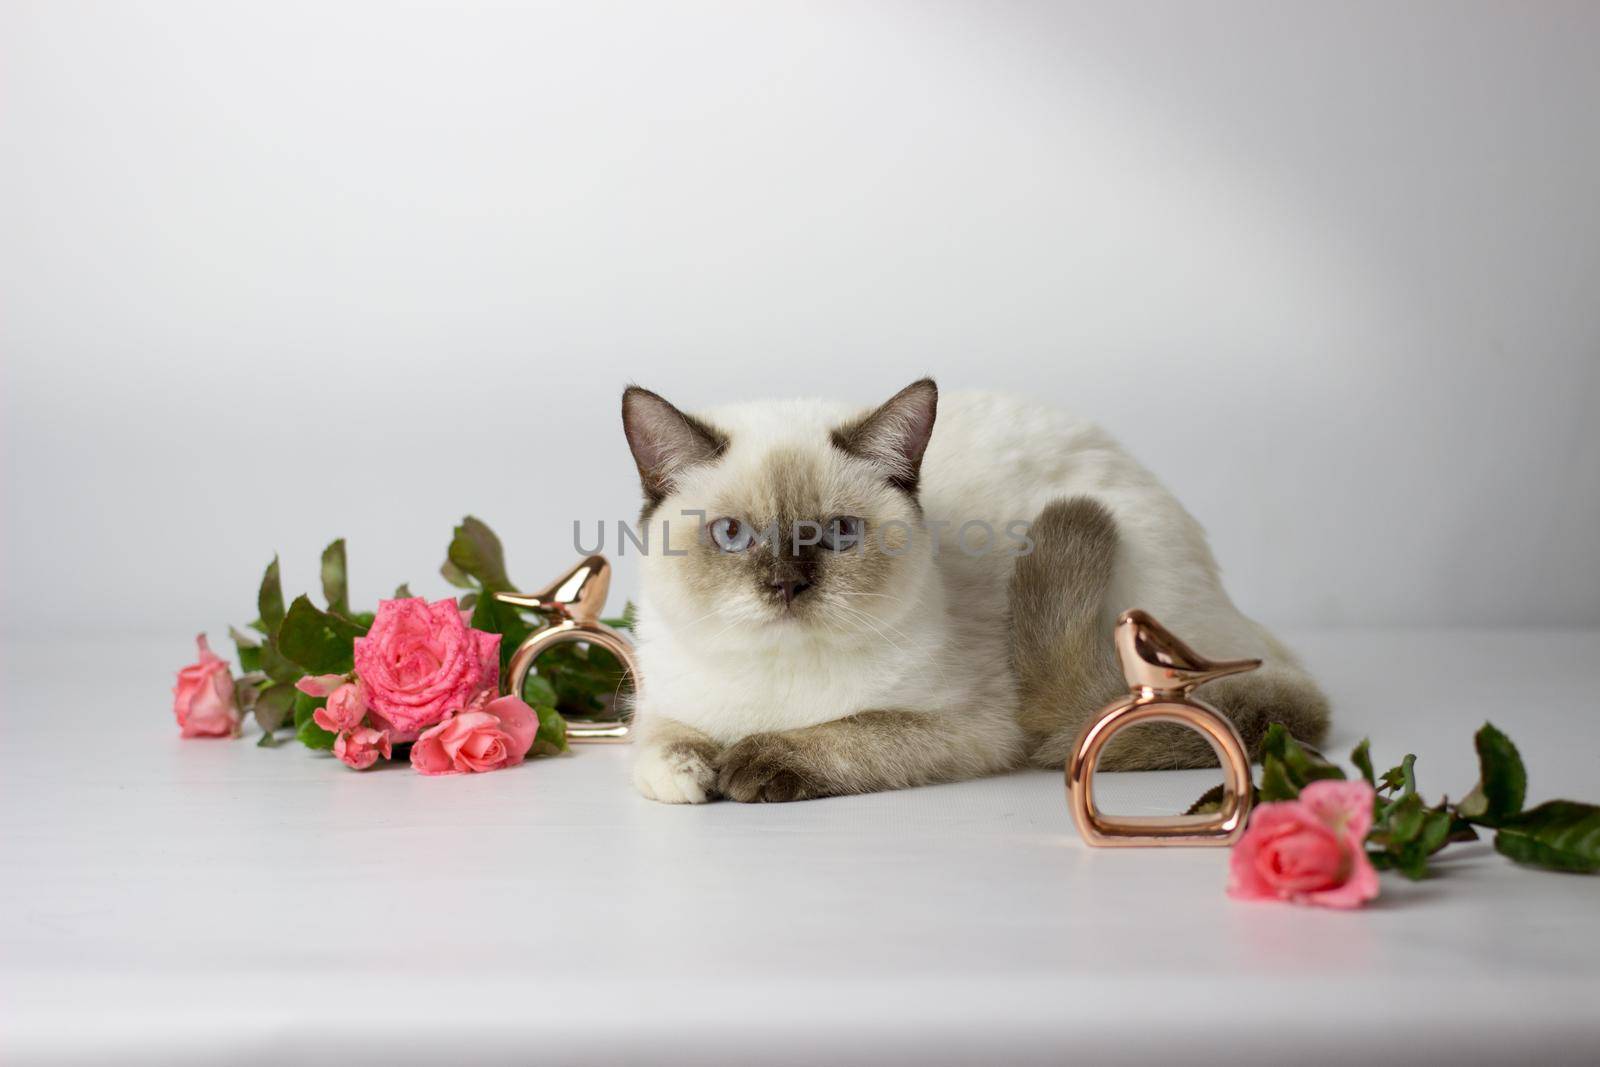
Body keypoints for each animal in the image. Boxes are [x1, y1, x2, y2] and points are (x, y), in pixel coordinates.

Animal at [617, 379, 1331, 806]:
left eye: (841, 533)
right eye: (732, 535)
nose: (786, 584)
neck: (775, 683)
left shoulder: (967, 727)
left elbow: (852, 732)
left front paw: (745, 767)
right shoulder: (661, 700)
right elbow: (659, 743)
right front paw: (690, 775)